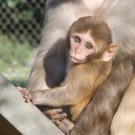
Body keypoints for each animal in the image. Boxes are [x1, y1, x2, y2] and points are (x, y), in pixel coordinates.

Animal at [27, 0, 135, 134]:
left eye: (88, 46)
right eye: (77, 39)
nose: (77, 51)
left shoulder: (129, 9)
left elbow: (127, 58)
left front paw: (84, 129)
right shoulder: (57, 4)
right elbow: (51, 56)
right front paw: (46, 111)